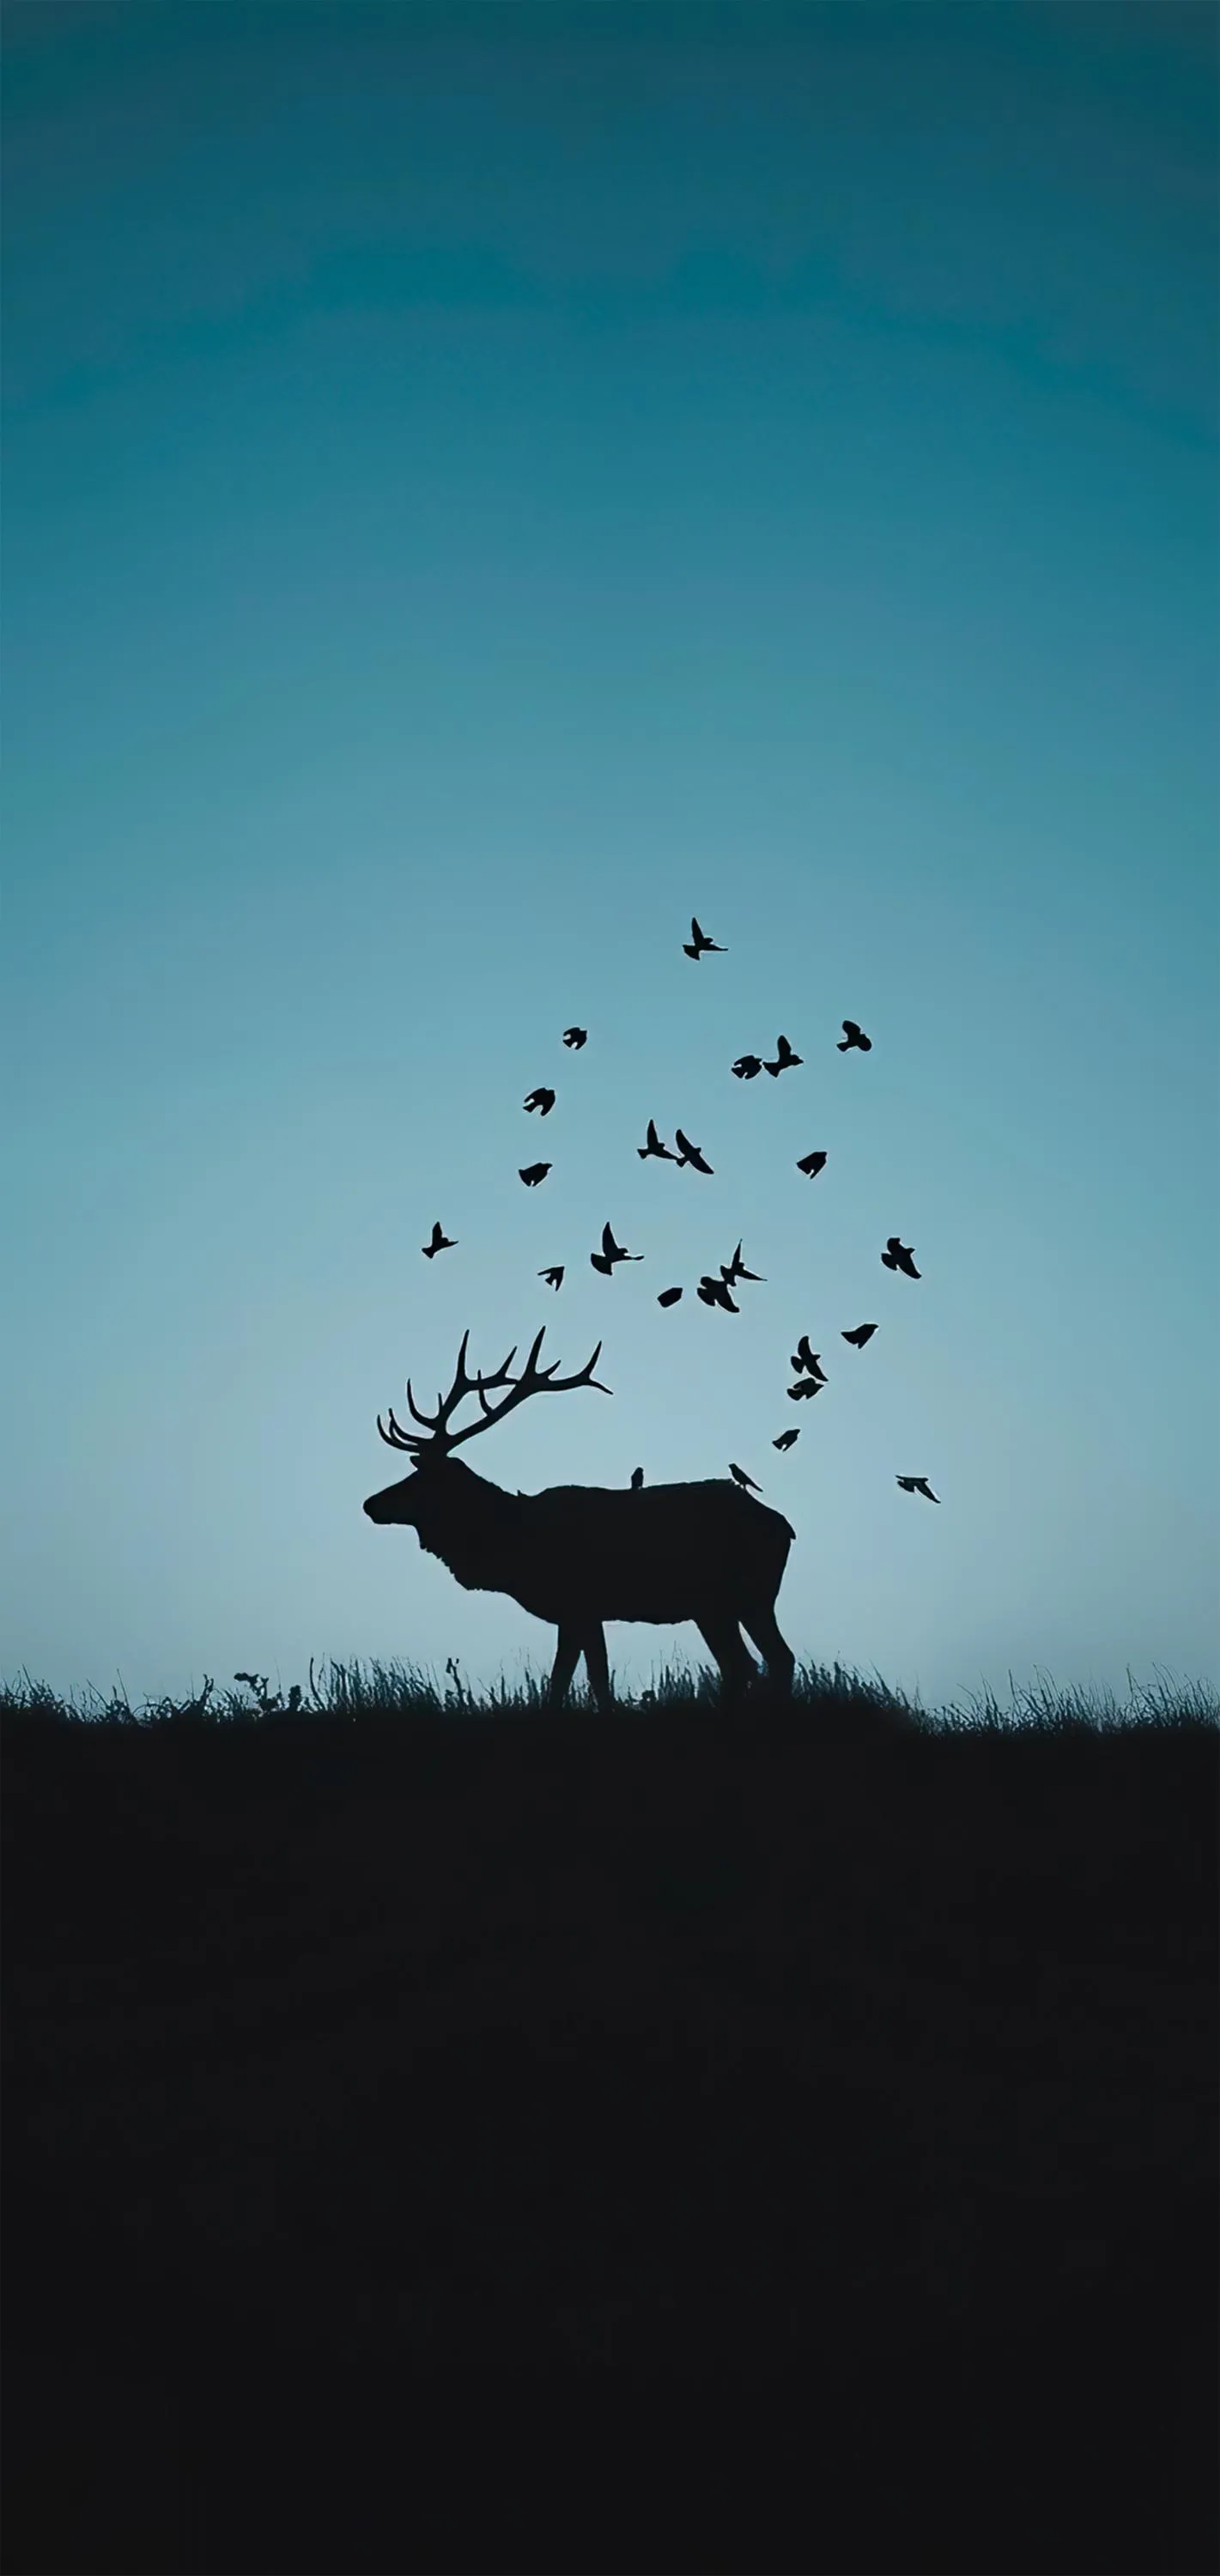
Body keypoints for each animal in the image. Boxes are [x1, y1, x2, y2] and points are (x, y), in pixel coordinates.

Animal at [363, 1328, 797, 1709]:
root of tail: (784, 1527)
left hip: (734, 1597)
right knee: (761, 1661)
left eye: (420, 1480)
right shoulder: (579, 1614)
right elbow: (574, 1681)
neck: (511, 1546)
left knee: (755, 1662)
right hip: (730, 1604)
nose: (370, 1504)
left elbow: (584, 1681)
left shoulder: (580, 1605)